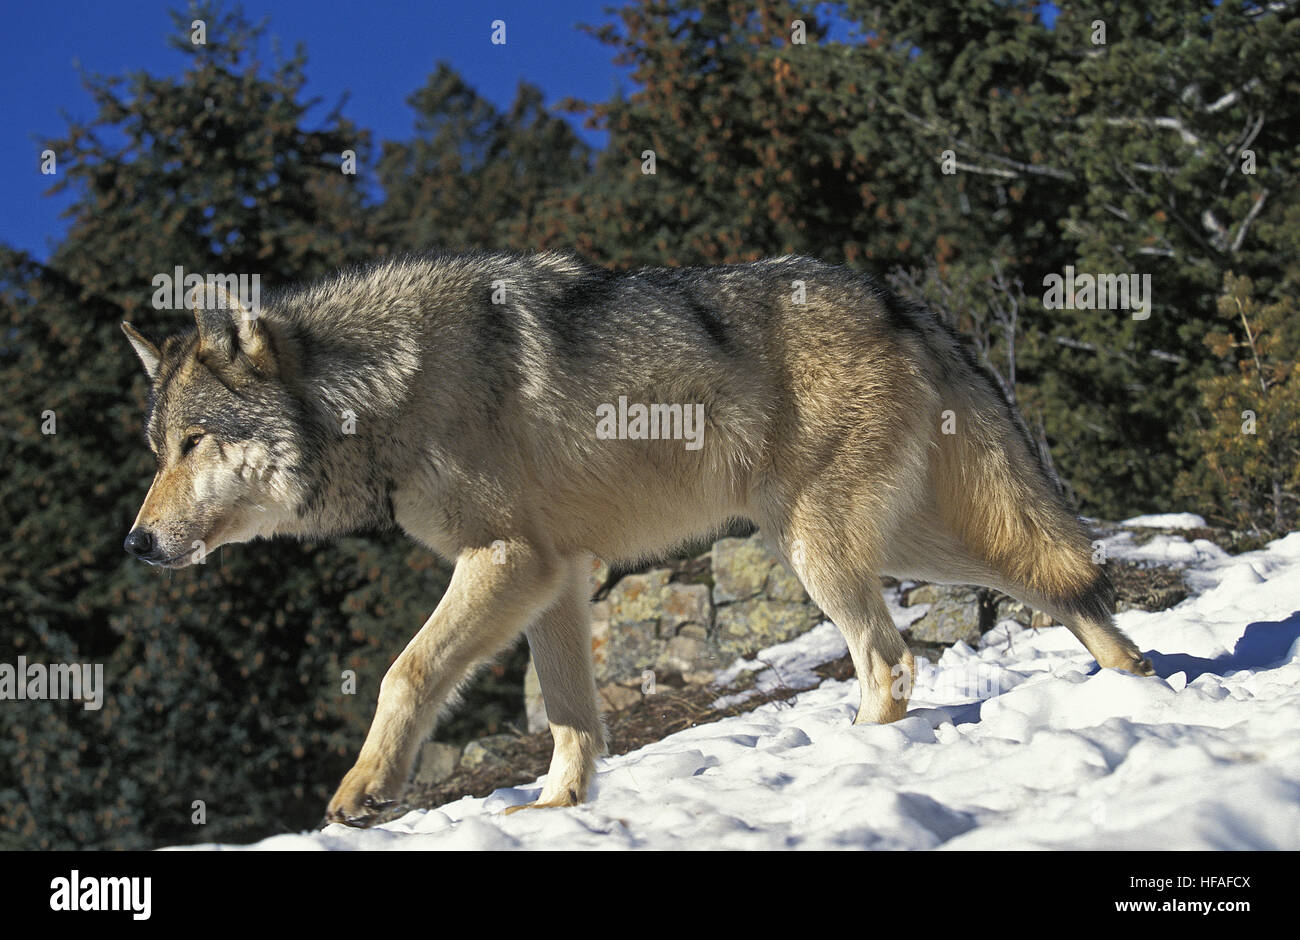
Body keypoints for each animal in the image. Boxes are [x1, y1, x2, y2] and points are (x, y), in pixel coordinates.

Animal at [122, 253, 1154, 826]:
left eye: (193, 443)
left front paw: (366, 790)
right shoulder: (556, 577)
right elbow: (574, 718)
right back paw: (1139, 682)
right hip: (894, 540)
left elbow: (404, 674)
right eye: (155, 450)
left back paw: (853, 759)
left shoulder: (507, 561)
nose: (135, 544)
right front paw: (555, 813)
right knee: (1056, 576)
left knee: (893, 662)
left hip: (817, 548)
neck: (386, 392)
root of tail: (899, 299)